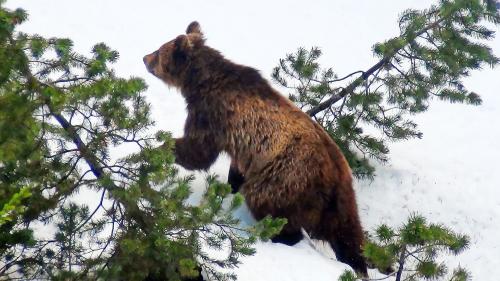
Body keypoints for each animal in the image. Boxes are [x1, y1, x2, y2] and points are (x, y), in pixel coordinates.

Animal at [143, 21, 370, 276]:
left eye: (159, 51)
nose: (144, 58)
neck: (200, 82)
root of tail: (334, 175)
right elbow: (233, 167)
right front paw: (230, 186)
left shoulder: (212, 114)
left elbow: (198, 151)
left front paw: (158, 148)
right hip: (342, 201)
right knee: (349, 236)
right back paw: (357, 264)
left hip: (284, 178)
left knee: (269, 205)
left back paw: (277, 237)